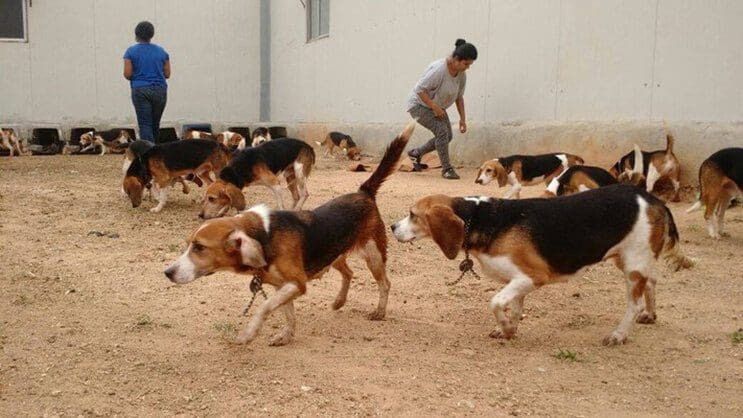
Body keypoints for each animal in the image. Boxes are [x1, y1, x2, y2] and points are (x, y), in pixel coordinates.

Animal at [163, 119, 418, 344]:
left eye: (199, 247)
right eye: (188, 244)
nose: (167, 272)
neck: (265, 236)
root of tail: (363, 192)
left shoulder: (296, 283)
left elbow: (265, 306)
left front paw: (249, 333)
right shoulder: (282, 286)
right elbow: (288, 313)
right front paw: (286, 336)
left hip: (373, 254)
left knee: (385, 284)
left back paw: (379, 311)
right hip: (334, 253)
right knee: (348, 273)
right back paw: (339, 301)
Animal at [392, 186, 696, 346]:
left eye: (412, 215)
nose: (392, 227)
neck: (479, 218)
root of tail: (654, 199)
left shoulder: (532, 277)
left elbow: (495, 302)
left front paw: (506, 327)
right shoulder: (517, 282)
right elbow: (514, 308)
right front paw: (509, 329)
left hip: (632, 266)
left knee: (633, 303)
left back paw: (619, 334)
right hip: (633, 259)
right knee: (652, 282)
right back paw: (650, 315)